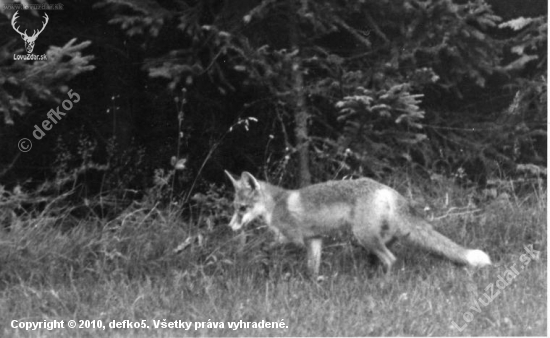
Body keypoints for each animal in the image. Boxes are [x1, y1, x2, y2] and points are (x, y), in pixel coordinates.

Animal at [226, 170, 494, 276]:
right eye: (234, 207)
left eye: (242, 209)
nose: (231, 227)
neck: (276, 204)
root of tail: (386, 188)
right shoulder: (315, 239)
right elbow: (312, 268)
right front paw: (314, 284)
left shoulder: (293, 238)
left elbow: (266, 246)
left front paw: (263, 260)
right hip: (381, 236)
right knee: (387, 253)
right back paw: (372, 271)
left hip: (363, 236)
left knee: (391, 259)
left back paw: (384, 283)